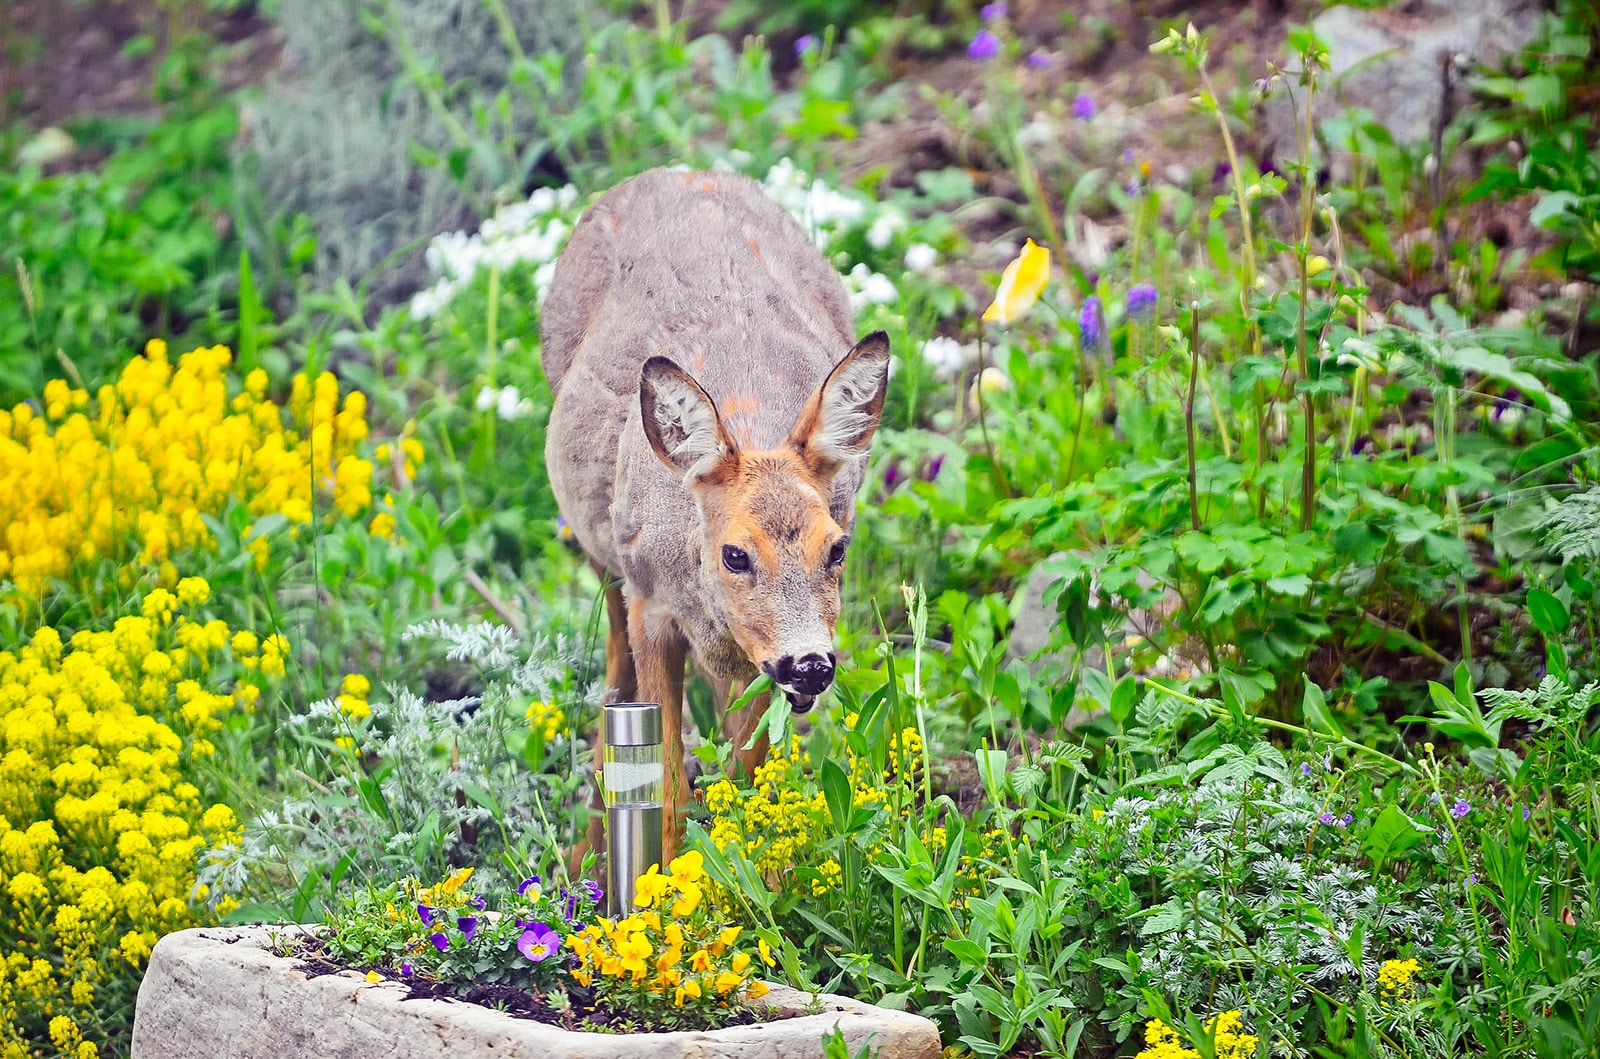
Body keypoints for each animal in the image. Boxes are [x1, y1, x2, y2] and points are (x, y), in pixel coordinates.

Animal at [537, 170, 889, 870]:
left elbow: (747, 782)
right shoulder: (652, 608)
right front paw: (662, 885)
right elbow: (667, 786)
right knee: (611, 676)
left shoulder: (753, 660)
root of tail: (671, 170)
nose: (810, 665)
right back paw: (581, 855)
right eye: (735, 554)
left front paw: (740, 883)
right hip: (603, 555)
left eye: (836, 548)